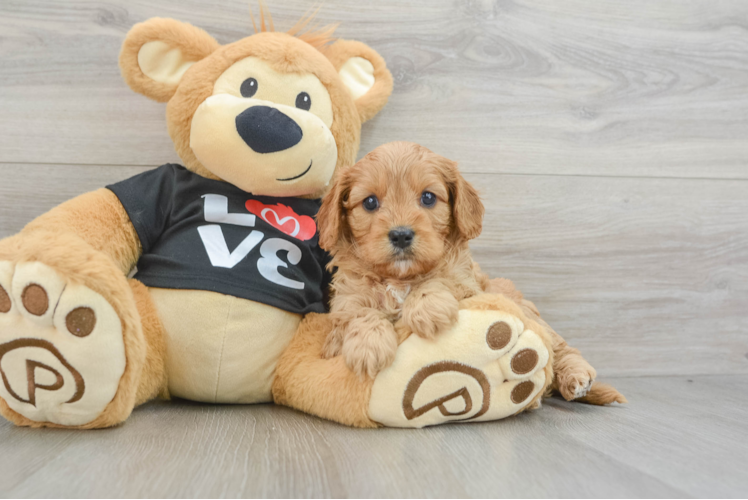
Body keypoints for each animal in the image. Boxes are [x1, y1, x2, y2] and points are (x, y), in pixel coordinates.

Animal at [314, 139, 486, 376]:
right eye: (370, 202)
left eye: (428, 197)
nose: (401, 235)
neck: (399, 280)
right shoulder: (348, 296)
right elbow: (358, 311)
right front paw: (368, 345)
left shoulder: (467, 283)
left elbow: (441, 278)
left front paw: (428, 308)